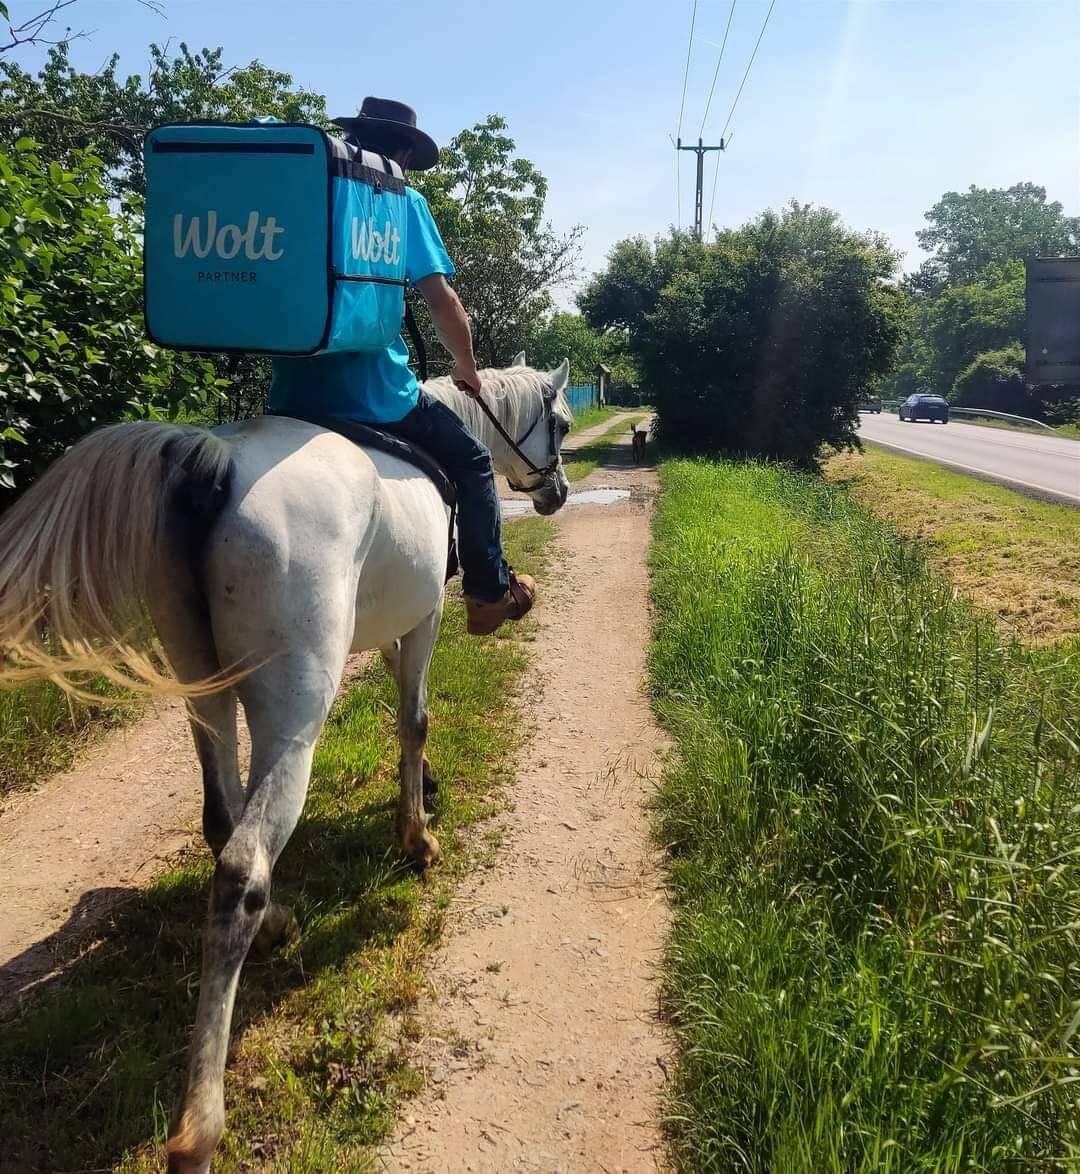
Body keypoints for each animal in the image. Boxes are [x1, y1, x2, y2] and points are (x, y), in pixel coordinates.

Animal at [0, 352, 572, 1169]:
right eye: (560, 423)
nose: (557, 492)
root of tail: (215, 459)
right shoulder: (426, 615)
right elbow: (415, 717)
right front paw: (417, 837)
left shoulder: (392, 622)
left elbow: (400, 704)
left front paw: (423, 793)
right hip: (293, 711)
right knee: (242, 865)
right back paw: (198, 1129)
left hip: (202, 687)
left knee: (220, 820)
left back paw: (277, 924)